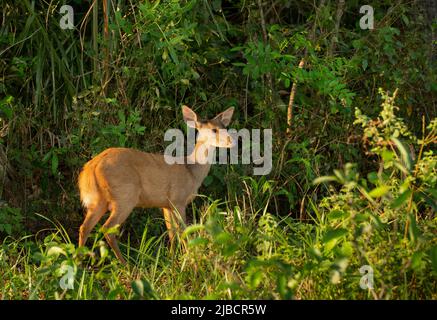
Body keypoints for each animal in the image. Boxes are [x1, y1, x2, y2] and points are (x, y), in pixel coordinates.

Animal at [78, 106, 235, 264]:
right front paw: (190, 257)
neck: (191, 171)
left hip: (99, 200)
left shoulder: (166, 204)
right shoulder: (178, 200)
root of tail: (91, 167)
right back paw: (126, 264)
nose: (232, 141)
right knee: (107, 229)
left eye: (225, 127)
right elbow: (184, 230)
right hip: (124, 196)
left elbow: (171, 232)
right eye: (214, 130)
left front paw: (172, 259)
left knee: (84, 227)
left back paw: (80, 262)